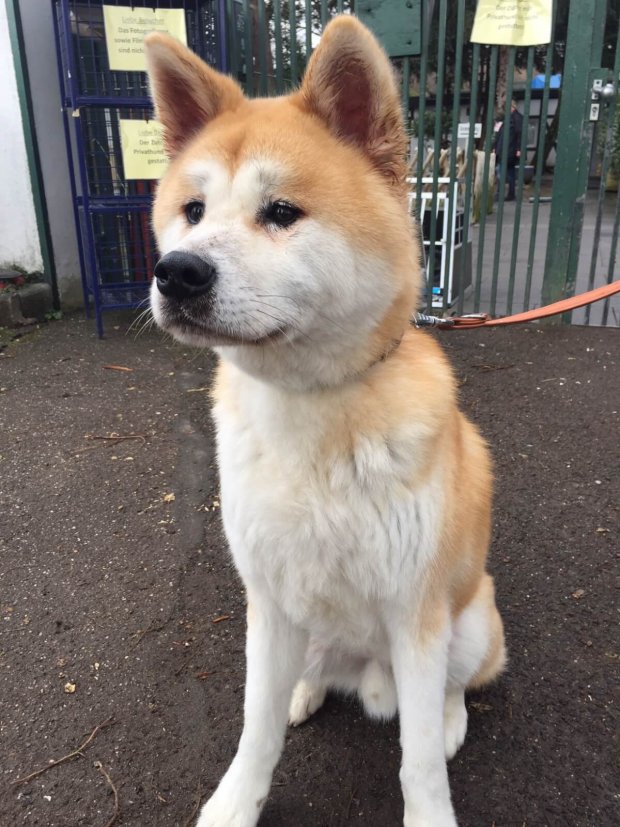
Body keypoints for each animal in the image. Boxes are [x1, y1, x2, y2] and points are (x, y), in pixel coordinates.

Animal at [147, 16, 508, 824]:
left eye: (281, 212)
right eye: (193, 212)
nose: (177, 272)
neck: (312, 407)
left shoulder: (416, 613)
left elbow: (416, 763)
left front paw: (430, 807)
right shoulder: (268, 598)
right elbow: (253, 729)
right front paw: (235, 802)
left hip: (468, 622)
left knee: (450, 691)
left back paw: (446, 719)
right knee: (298, 679)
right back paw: (306, 692)